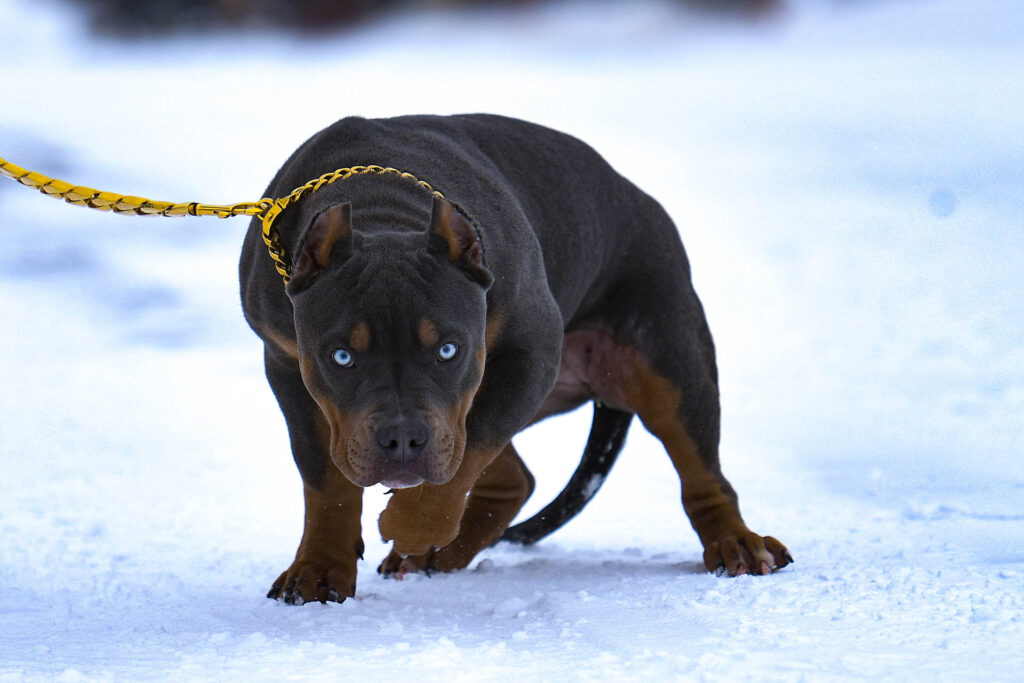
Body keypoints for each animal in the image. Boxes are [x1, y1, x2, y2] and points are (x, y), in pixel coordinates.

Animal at [239, 114, 790, 606]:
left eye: (448, 349)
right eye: (341, 356)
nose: (402, 441)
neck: (383, 213)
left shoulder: (530, 355)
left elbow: (469, 453)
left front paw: (410, 524)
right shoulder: (289, 367)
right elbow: (325, 480)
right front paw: (319, 569)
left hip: (668, 363)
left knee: (701, 469)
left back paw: (737, 542)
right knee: (509, 476)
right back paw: (440, 552)